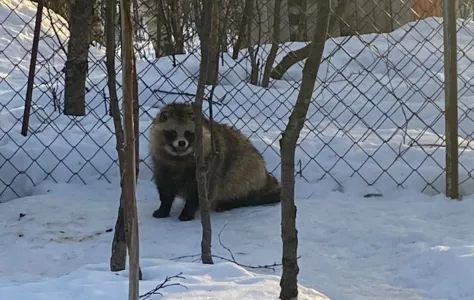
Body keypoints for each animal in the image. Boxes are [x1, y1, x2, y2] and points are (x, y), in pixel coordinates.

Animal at [148, 102, 280, 221]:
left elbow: (199, 191)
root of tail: (266, 177)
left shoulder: (207, 165)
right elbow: (164, 188)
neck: (179, 157)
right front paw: (164, 208)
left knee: (234, 182)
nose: (181, 143)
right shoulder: (161, 164)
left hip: (246, 169)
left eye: (188, 133)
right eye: (173, 132)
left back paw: (232, 202)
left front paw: (187, 211)